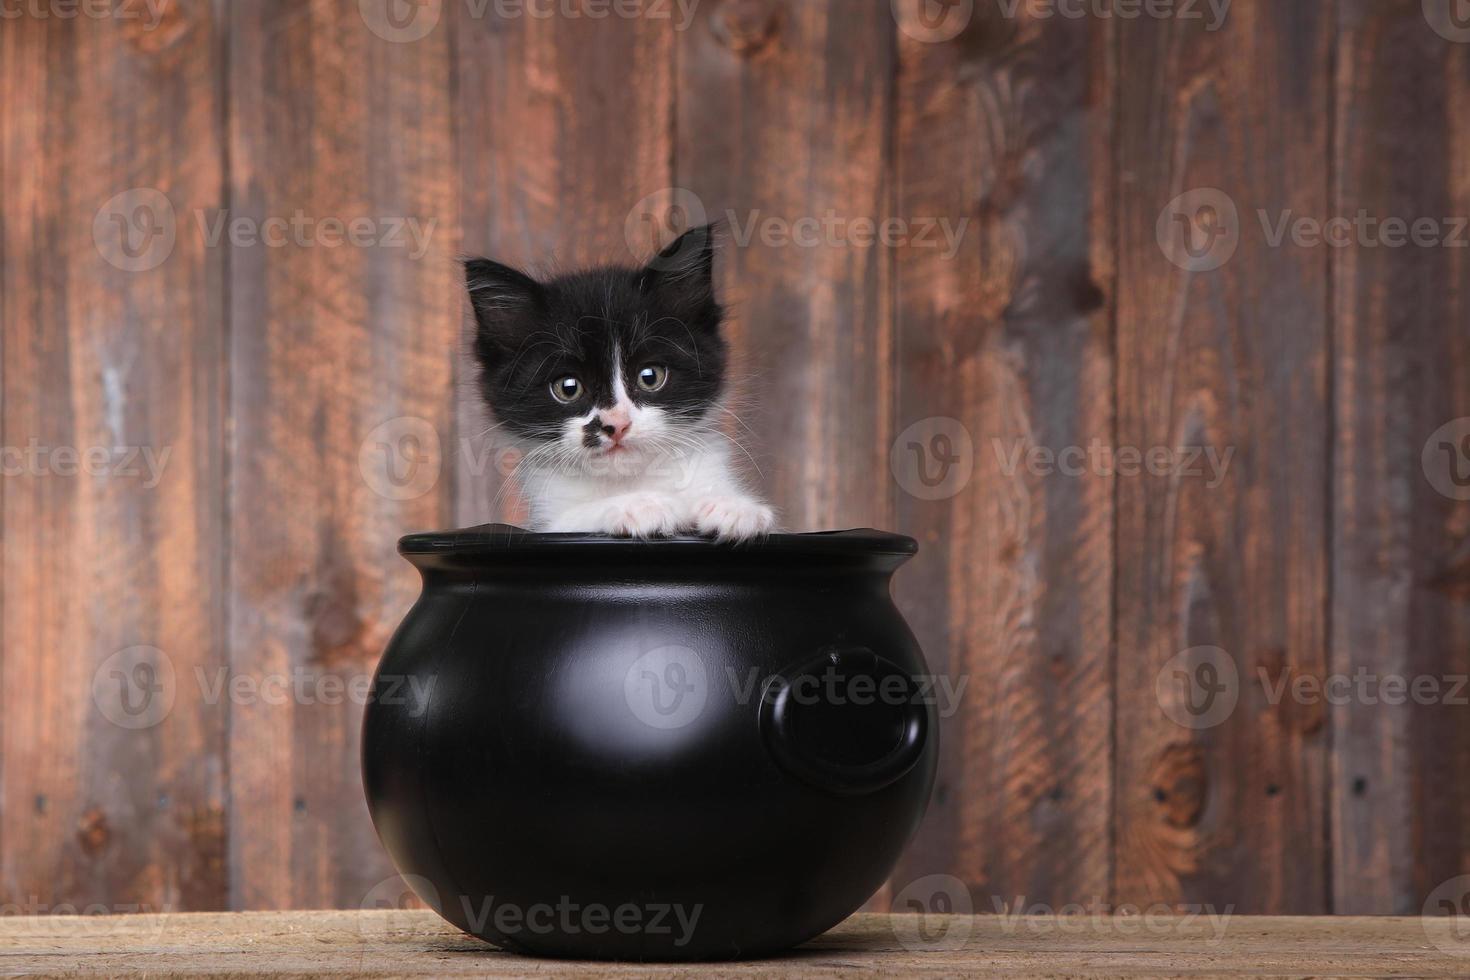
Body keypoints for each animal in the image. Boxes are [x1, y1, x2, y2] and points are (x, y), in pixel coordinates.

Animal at [464, 224, 776, 540]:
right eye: (568, 388)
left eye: (650, 377)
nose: (616, 424)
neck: (628, 479)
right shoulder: (549, 519)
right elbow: (572, 518)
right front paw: (640, 505)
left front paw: (734, 507)